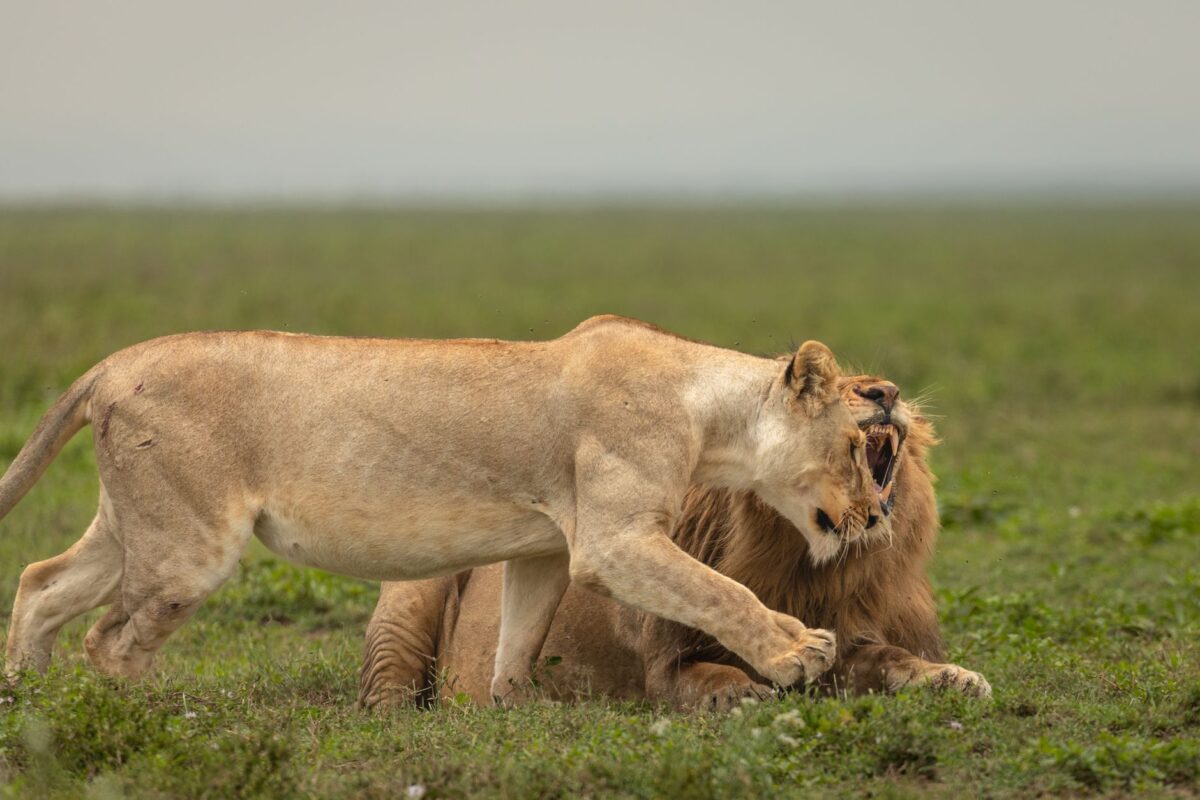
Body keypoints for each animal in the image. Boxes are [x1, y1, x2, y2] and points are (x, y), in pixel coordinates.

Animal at [2, 316, 886, 700]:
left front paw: (514, 716)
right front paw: (798, 651)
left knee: (41, 583)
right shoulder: (614, 540)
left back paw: (30, 706)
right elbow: (720, 590)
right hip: (191, 547)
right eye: (859, 445)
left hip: (136, 526)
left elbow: (517, 644)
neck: (711, 415)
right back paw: (137, 720)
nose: (878, 519)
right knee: (110, 640)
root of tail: (112, 362)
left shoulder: (546, 548)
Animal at [360, 375, 990, 711]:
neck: (807, 563)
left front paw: (953, 678)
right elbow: (705, 673)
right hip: (412, 595)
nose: (884, 391)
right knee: (384, 697)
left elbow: (891, 658)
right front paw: (739, 694)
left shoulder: (851, 633)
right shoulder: (663, 664)